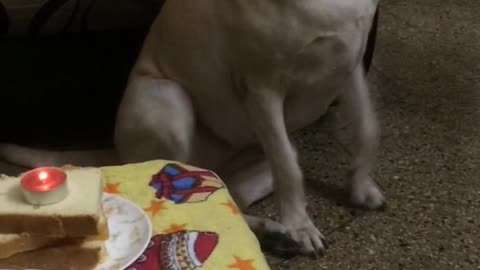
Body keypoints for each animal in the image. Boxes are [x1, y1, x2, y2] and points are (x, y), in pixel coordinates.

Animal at [0, 0, 384, 256]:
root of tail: (118, 151)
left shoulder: (351, 69)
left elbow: (367, 130)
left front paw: (362, 188)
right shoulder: (263, 89)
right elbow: (290, 171)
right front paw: (301, 227)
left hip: (258, 161)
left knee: (230, 196)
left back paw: (272, 232)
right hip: (168, 99)